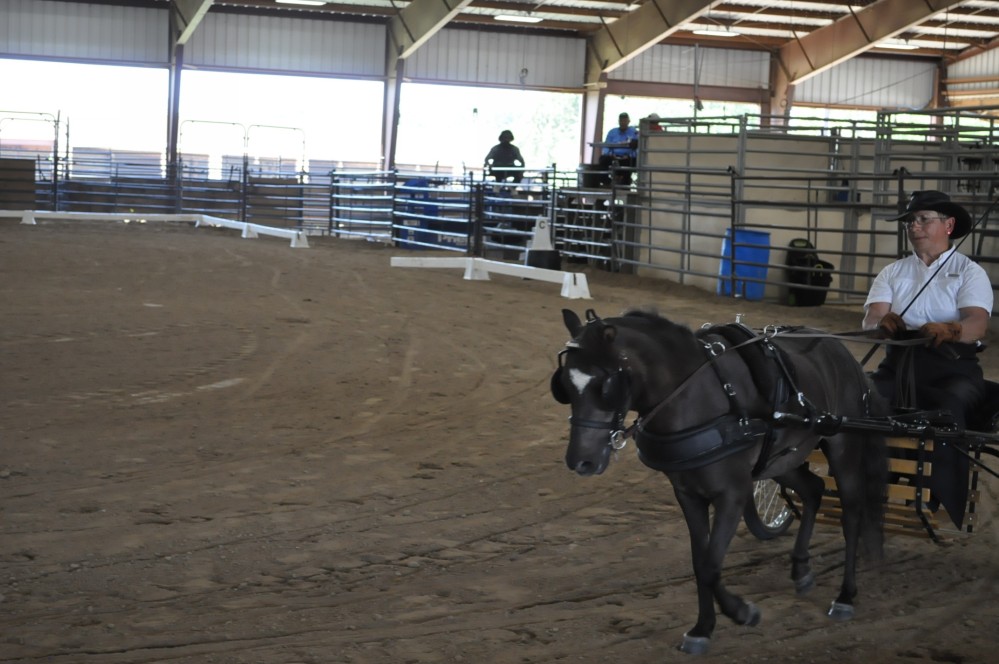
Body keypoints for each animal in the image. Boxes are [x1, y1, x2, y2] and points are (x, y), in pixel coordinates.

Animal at [556, 312, 892, 652]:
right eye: (564, 386)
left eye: (606, 385)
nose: (580, 461)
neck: (696, 396)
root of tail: (844, 355)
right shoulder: (688, 494)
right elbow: (700, 561)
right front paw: (703, 628)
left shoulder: (733, 493)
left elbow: (710, 564)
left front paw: (742, 612)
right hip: (782, 459)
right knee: (813, 490)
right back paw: (801, 570)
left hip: (843, 447)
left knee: (852, 514)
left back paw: (845, 596)